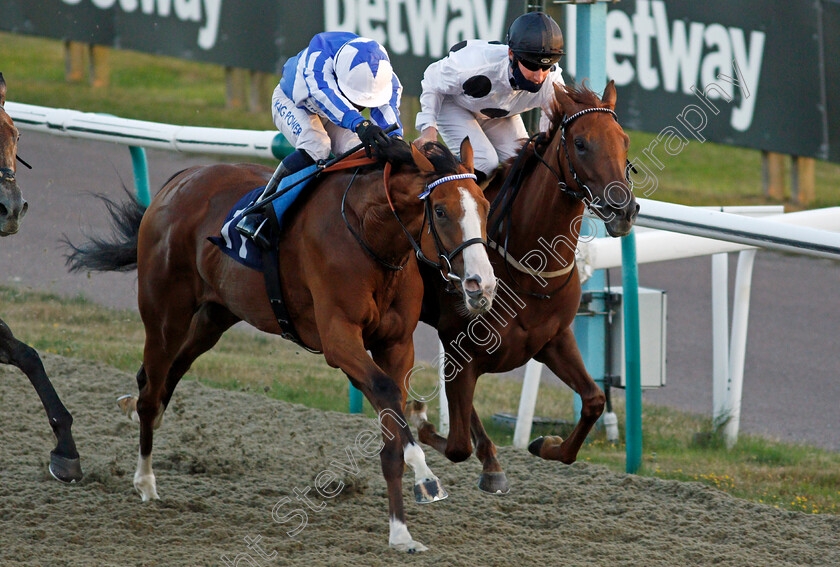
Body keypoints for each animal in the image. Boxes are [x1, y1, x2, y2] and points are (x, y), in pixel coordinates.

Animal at [67, 135, 498, 552]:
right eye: (440, 211)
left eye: (485, 206)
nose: (482, 285)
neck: (371, 235)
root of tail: (178, 180)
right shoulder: (338, 339)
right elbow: (387, 392)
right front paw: (426, 478)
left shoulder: (396, 344)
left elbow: (391, 427)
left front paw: (401, 533)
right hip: (164, 312)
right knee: (152, 388)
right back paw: (144, 480)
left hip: (215, 316)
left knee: (164, 376)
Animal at [410, 82, 640, 494]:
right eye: (580, 143)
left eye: (624, 140)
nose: (624, 210)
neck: (530, 268)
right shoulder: (461, 348)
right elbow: (456, 444)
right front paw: (422, 420)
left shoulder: (554, 339)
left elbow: (594, 400)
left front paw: (544, 443)